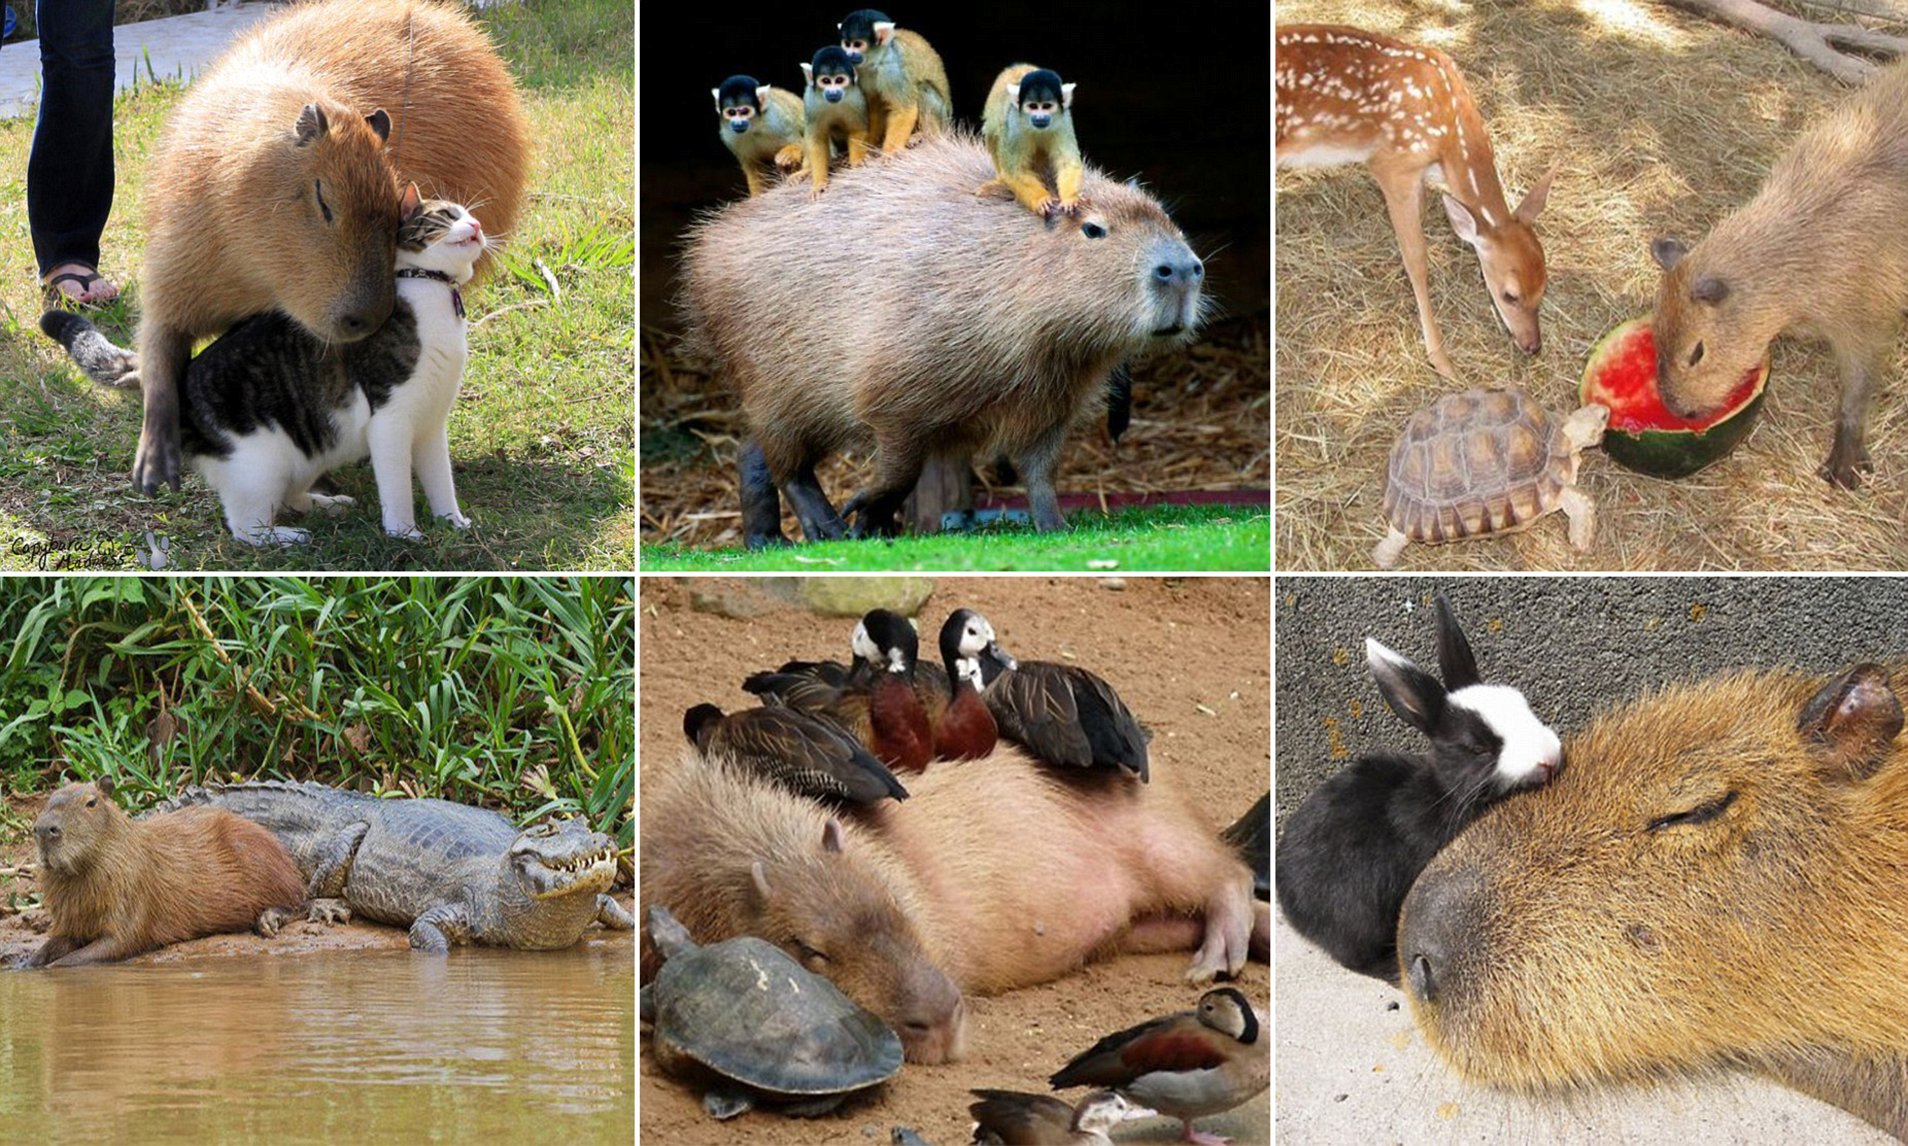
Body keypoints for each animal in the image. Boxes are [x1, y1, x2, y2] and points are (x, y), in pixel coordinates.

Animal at [45, 183, 484, 545]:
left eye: (467, 214)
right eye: (449, 215)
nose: (477, 225)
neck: (431, 292)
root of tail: (176, 379)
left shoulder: (430, 423)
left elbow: (440, 480)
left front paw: (453, 521)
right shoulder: (390, 422)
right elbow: (397, 488)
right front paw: (404, 533)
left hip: (307, 453)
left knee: (288, 495)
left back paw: (325, 505)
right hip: (259, 466)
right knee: (245, 527)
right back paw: (285, 536)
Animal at [797, 44, 873, 195]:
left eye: (839, 80)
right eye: (826, 81)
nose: (833, 92)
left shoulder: (857, 98)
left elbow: (857, 130)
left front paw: (857, 160)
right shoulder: (810, 100)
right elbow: (816, 139)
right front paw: (819, 183)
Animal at [839, 7, 950, 154]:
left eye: (857, 44)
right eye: (847, 44)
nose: (848, 54)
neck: (877, 60)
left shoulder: (893, 68)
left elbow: (904, 110)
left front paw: (889, 154)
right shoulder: (859, 70)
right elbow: (875, 105)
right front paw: (868, 143)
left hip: (942, 118)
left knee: (923, 88)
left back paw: (928, 135)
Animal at [976, 65, 1083, 219]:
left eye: (1047, 106)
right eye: (1033, 106)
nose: (1040, 117)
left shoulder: (1064, 121)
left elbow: (1067, 162)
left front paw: (1070, 198)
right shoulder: (1014, 124)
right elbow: (1015, 170)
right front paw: (1041, 199)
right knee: (995, 130)